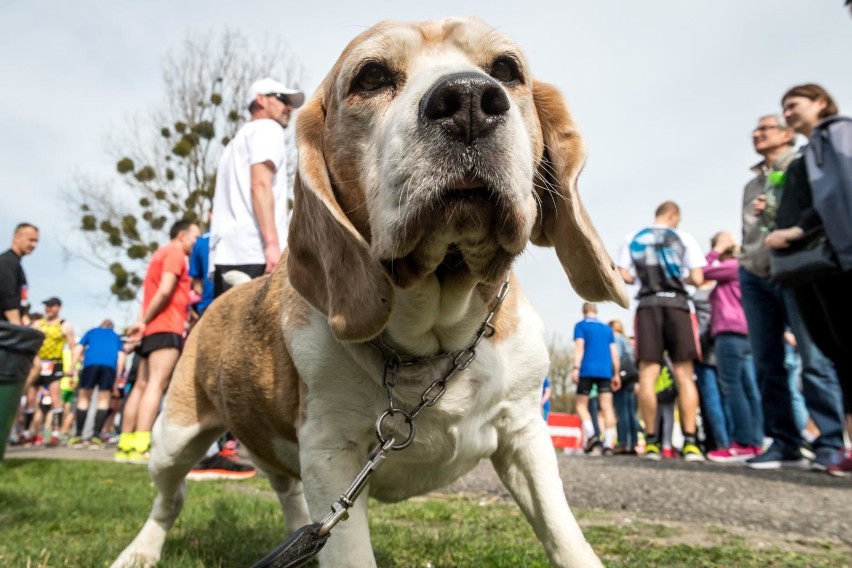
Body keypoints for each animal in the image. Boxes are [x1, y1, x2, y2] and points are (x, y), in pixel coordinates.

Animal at [113, 17, 624, 568]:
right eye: (372, 76)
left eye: (506, 69)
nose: (468, 100)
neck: (437, 340)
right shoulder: (330, 454)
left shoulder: (526, 435)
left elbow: (564, 536)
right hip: (173, 436)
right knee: (171, 498)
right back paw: (140, 550)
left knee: (289, 497)